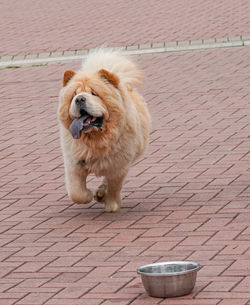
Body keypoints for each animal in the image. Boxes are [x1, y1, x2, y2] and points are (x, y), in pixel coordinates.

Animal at [57, 49, 150, 211]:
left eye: (94, 93)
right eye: (74, 95)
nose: (79, 99)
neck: (96, 139)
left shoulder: (119, 165)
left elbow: (114, 186)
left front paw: (111, 204)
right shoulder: (74, 163)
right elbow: (76, 192)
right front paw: (87, 195)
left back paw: (101, 194)